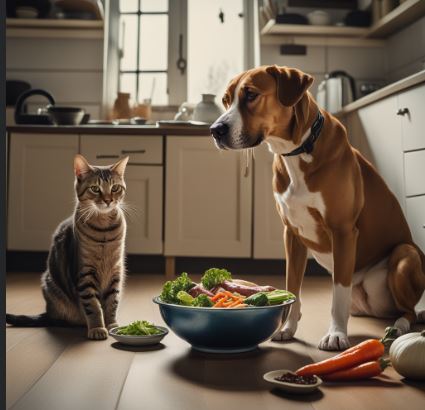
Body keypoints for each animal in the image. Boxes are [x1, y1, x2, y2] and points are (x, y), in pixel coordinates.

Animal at [5, 154, 128, 340]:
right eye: (95, 188)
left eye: (115, 188)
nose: (108, 200)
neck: (104, 231)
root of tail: (48, 312)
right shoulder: (84, 274)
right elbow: (93, 306)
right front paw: (97, 328)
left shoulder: (116, 271)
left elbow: (112, 302)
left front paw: (112, 325)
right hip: (52, 286)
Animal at [210, 65, 424, 350]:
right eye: (225, 100)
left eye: (251, 95)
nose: (215, 130)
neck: (297, 151)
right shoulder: (291, 235)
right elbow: (293, 287)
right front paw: (287, 327)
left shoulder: (343, 231)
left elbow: (338, 295)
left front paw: (336, 334)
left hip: (404, 255)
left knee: (407, 311)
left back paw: (399, 328)